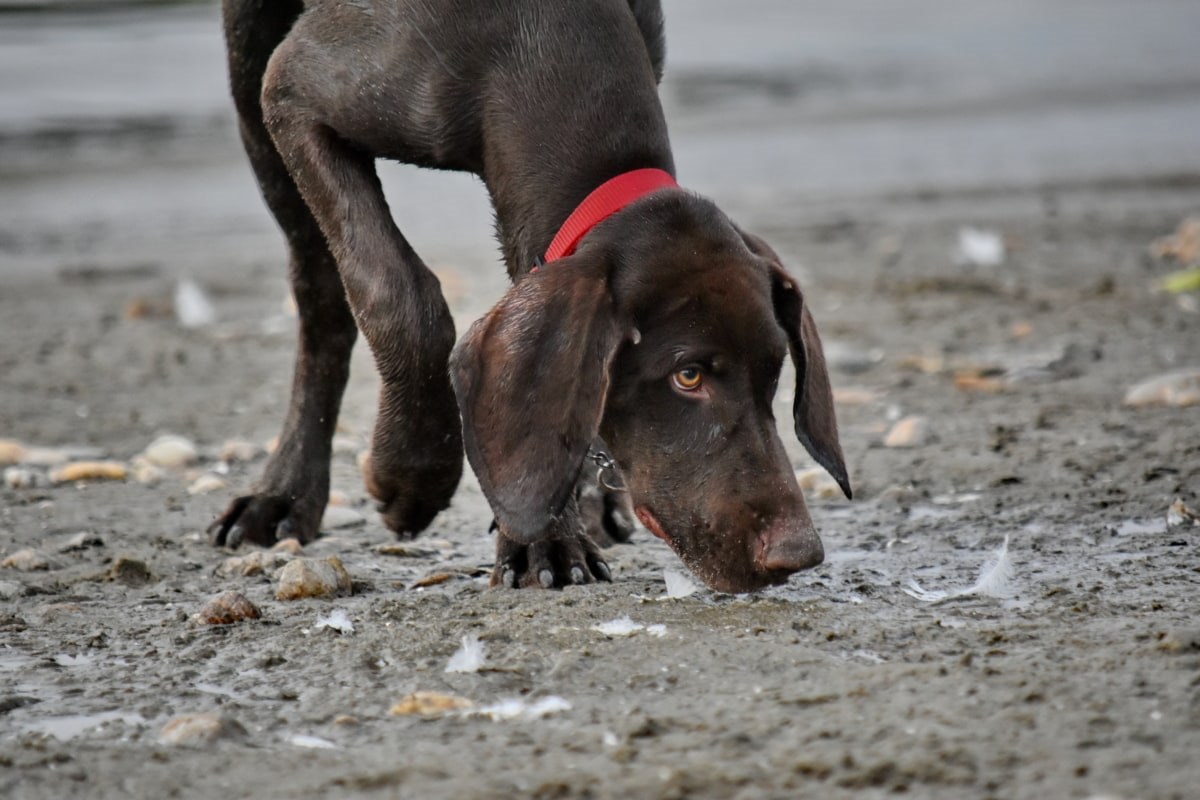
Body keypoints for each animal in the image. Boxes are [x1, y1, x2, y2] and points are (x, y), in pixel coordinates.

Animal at [213, 0, 854, 594]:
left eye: (775, 372)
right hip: (252, 71)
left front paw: (546, 530)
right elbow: (398, 290)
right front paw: (414, 472)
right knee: (320, 290)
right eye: (687, 376)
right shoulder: (296, 89)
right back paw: (285, 492)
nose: (798, 554)